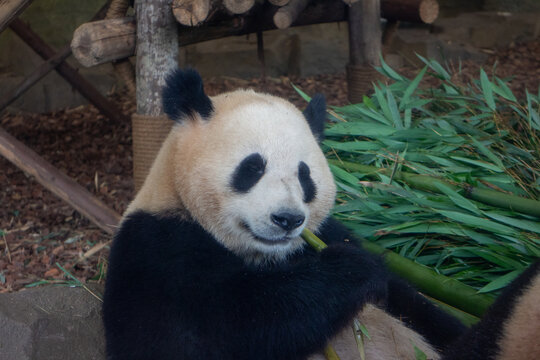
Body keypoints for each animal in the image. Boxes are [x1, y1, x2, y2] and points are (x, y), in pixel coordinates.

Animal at [101, 68, 468, 360]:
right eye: (252, 168)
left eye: (305, 176)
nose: (287, 219)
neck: (266, 256)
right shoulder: (159, 250)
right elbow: (222, 329)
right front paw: (353, 269)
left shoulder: (324, 233)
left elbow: (410, 301)